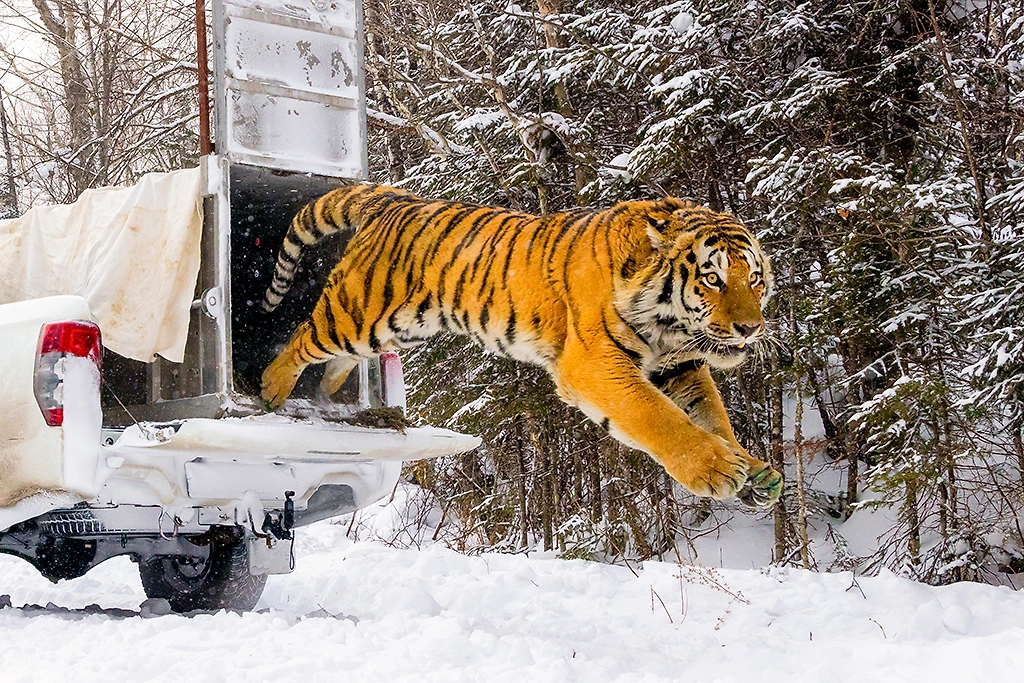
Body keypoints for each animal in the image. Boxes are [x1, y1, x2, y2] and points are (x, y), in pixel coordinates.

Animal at [261, 185, 782, 507]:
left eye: (754, 279)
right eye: (713, 279)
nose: (749, 329)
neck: (669, 326)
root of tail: (395, 198)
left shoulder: (681, 367)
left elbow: (710, 416)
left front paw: (755, 472)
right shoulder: (595, 361)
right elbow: (658, 417)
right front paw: (717, 469)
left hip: (398, 328)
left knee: (340, 358)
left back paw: (328, 387)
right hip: (356, 313)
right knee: (304, 335)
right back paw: (270, 388)